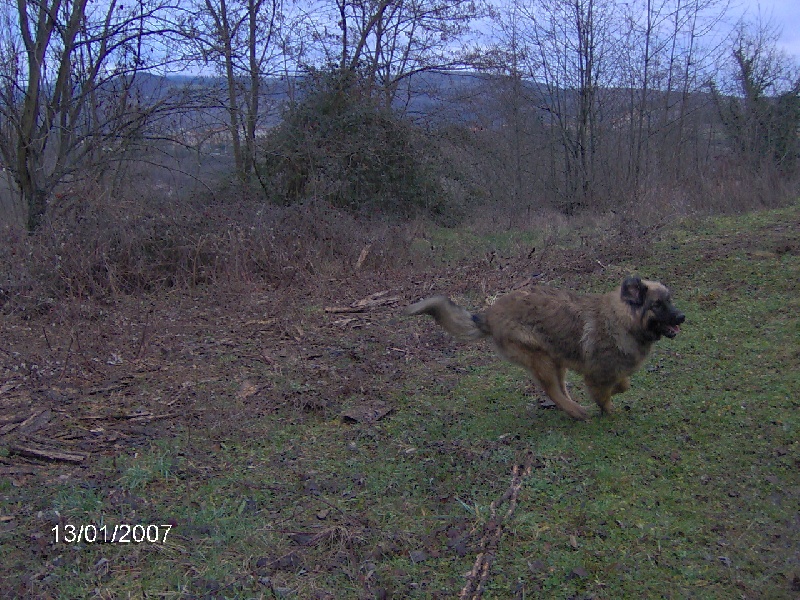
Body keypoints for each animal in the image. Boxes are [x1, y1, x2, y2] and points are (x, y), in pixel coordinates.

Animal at [410, 278, 684, 420]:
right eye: (657, 305)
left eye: (669, 300)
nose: (682, 317)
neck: (621, 321)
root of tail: (488, 314)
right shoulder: (597, 372)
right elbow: (605, 391)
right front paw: (606, 407)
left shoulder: (607, 369)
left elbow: (623, 383)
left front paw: (613, 394)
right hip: (540, 359)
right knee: (552, 391)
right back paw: (577, 411)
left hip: (556, 358)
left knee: (560, 389)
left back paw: (573, 405)